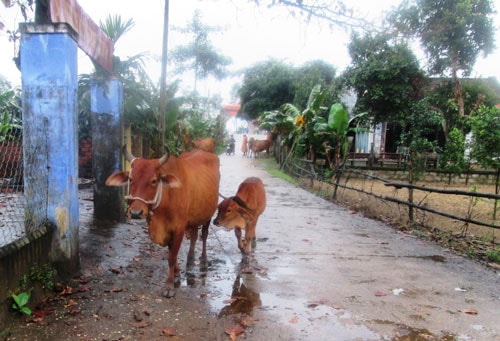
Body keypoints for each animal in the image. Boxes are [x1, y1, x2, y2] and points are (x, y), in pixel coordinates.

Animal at [105, 146, 219, 298]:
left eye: (154, 181)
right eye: (130, 179)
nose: (135, 213)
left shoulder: (179, 229)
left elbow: (171, 256)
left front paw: (169, 285)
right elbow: (172, 253)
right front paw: (176, 274)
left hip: (208, 215)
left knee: (204, 235)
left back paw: (203, 260)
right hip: (194, 218)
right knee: (194, 236)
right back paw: (190, 260)